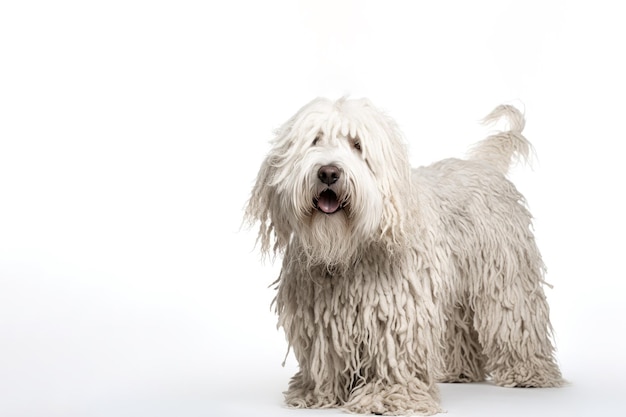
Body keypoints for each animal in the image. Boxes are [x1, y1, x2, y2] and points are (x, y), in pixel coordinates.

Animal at [244, 96, 560, 412]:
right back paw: (458, 371)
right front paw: (317, 393)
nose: (328, 172)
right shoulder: (319, 314)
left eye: (357, 145)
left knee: (515, 319)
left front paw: (388, 396)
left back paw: (529, 372)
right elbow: (324, 354)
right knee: (459, 326)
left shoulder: (398, 310)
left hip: (505, 278)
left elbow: (392, 356)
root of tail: (484, 166)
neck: (349, 247)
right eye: (314, 140)